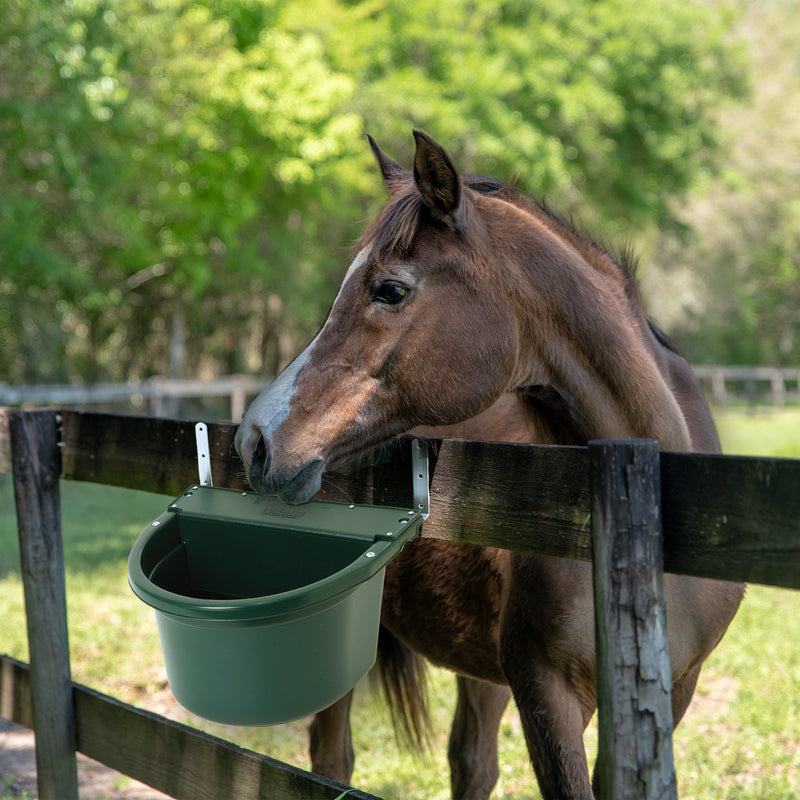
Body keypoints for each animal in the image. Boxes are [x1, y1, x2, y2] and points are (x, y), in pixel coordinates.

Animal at [236, 133, 744, 800]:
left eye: (390, 290)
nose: (255, 440)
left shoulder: (673, 691)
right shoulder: (547, 694)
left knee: (469, 761)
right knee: (331, 756)